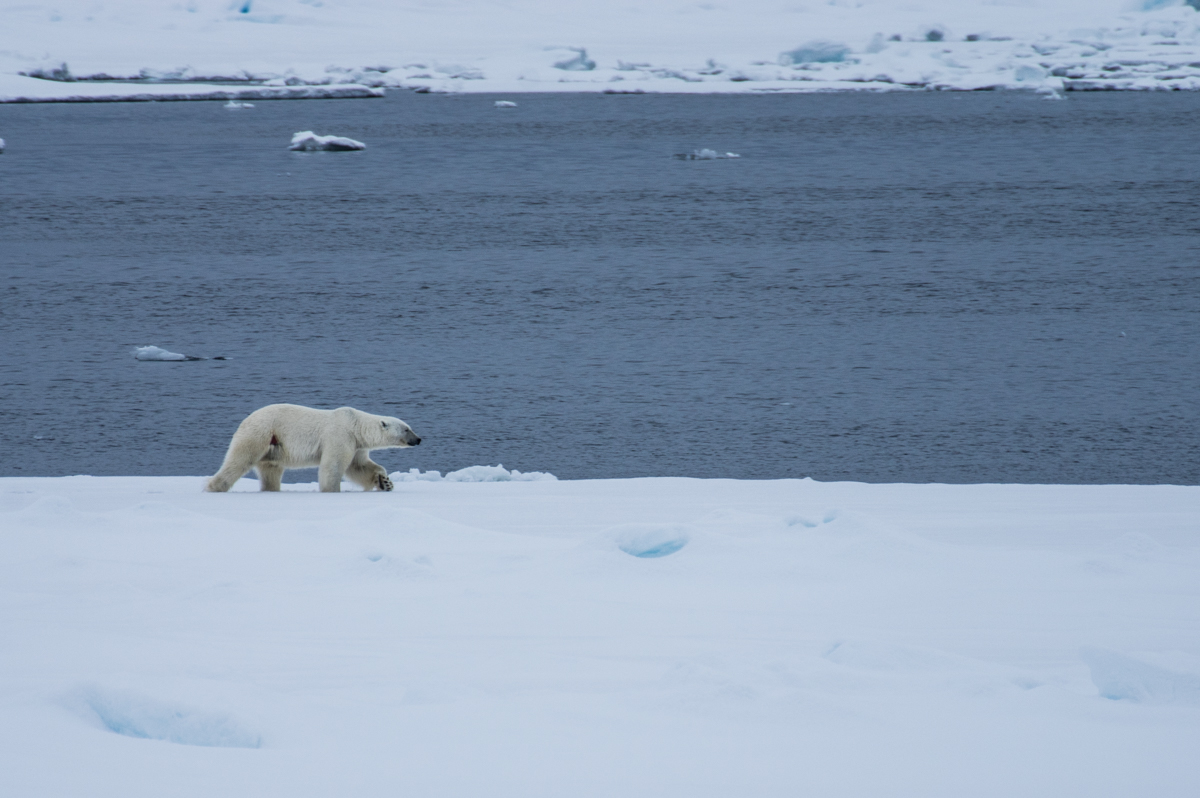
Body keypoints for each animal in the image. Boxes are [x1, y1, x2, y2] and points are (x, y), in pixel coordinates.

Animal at [208, 405, 424, 492]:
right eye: (407, 429)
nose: (419, 439)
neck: (355, 424)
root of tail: (245, 420)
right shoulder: (340, 436)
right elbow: (333, 466)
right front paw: (331, 490)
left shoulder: (356, 445)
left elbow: (359, 466)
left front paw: (385, 482)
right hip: (261, 434)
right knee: (239, 460)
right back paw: (214, 487)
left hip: (273, 447)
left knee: (270, 470)